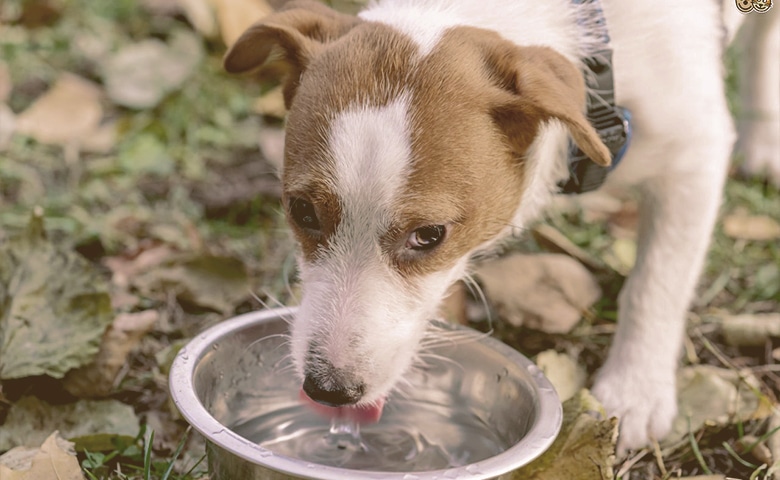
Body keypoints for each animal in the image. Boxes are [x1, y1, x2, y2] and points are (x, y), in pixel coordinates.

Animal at [222, 0, 776, 450]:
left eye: (429, 236)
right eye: (302, 211)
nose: (328, 390)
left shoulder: (695, 155)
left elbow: (655, 284)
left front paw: (635, 390)